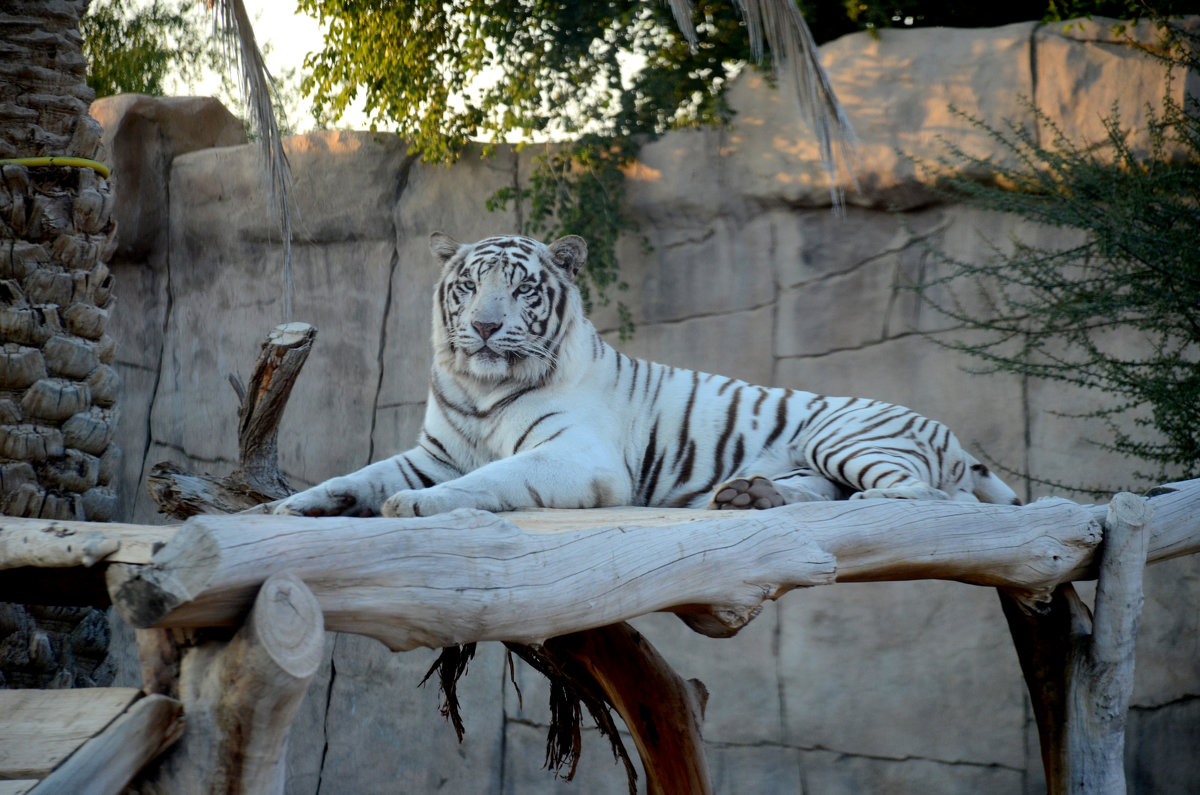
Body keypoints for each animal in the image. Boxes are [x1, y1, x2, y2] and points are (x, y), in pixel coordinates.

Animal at [274, 231, 1022, 516]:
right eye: (468, 287)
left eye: (521, 289)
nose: (484, 327)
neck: (481, 386)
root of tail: (951, 437)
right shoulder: (435, 452)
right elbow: (360, 475)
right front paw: (290, 506)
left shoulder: (576, 455)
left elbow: (494, 478)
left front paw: (417, 506)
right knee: (827, 492)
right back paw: (750, 495)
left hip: (845, 435)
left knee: (921, 494)